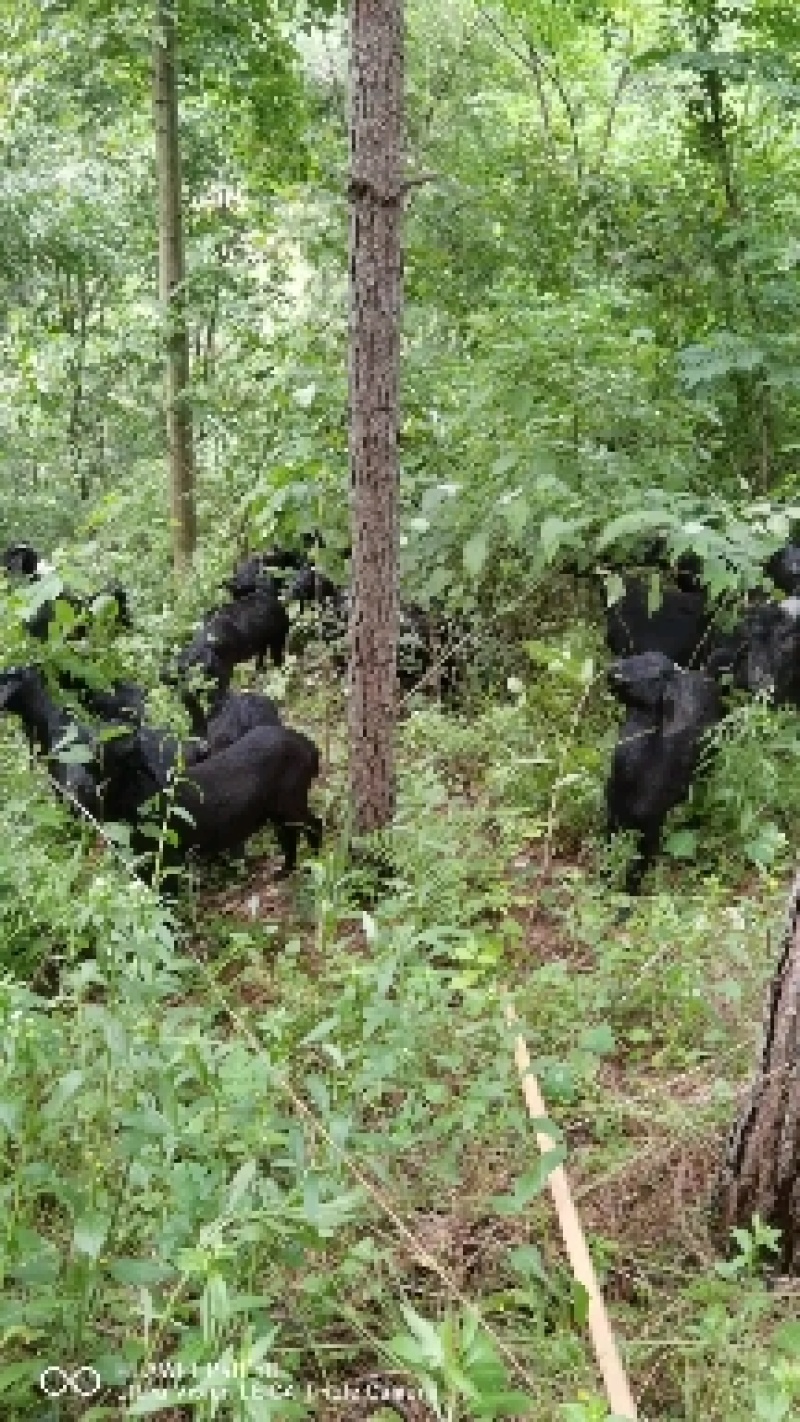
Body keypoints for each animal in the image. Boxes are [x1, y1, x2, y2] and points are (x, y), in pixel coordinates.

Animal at [608, 651, 719, 887]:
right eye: (639, 655)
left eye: (657, 676)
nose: (614, 672)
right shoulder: (612, 817)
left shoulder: (651, 829)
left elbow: (637, 869)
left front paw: (625, 895)